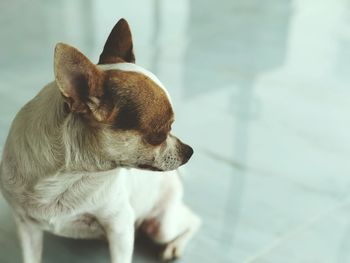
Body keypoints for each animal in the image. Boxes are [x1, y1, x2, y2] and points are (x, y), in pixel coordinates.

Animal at [0, 19, 201, 263]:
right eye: (159, 135)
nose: (189, 150)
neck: (71, 175)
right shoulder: (26, 226)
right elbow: (31, 256)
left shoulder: (120, 225)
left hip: (161, 226)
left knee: (193, 220)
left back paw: (175, 246)